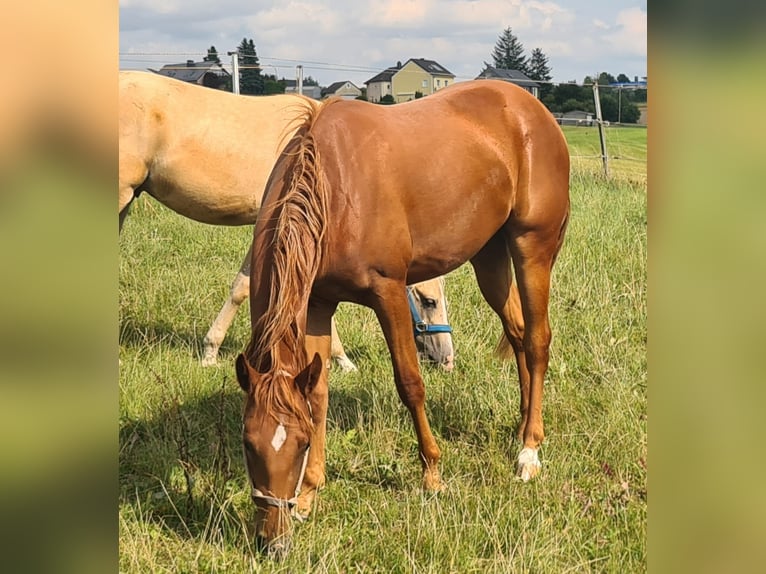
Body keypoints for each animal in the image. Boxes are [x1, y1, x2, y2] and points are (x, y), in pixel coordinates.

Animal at [234, 79, 570, 556]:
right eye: (248, 445)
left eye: (298, 444)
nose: (274, 542)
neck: (333, 187)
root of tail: (532, 109)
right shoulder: (317, 304)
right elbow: (317, 394)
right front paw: (311, 493)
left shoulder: (389, 293)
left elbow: (410, 383)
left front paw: (432, 474)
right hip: (489, 258)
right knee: (519, 334)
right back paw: (522, 424)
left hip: (532, 248)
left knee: (539, 340)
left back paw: (529, 451)